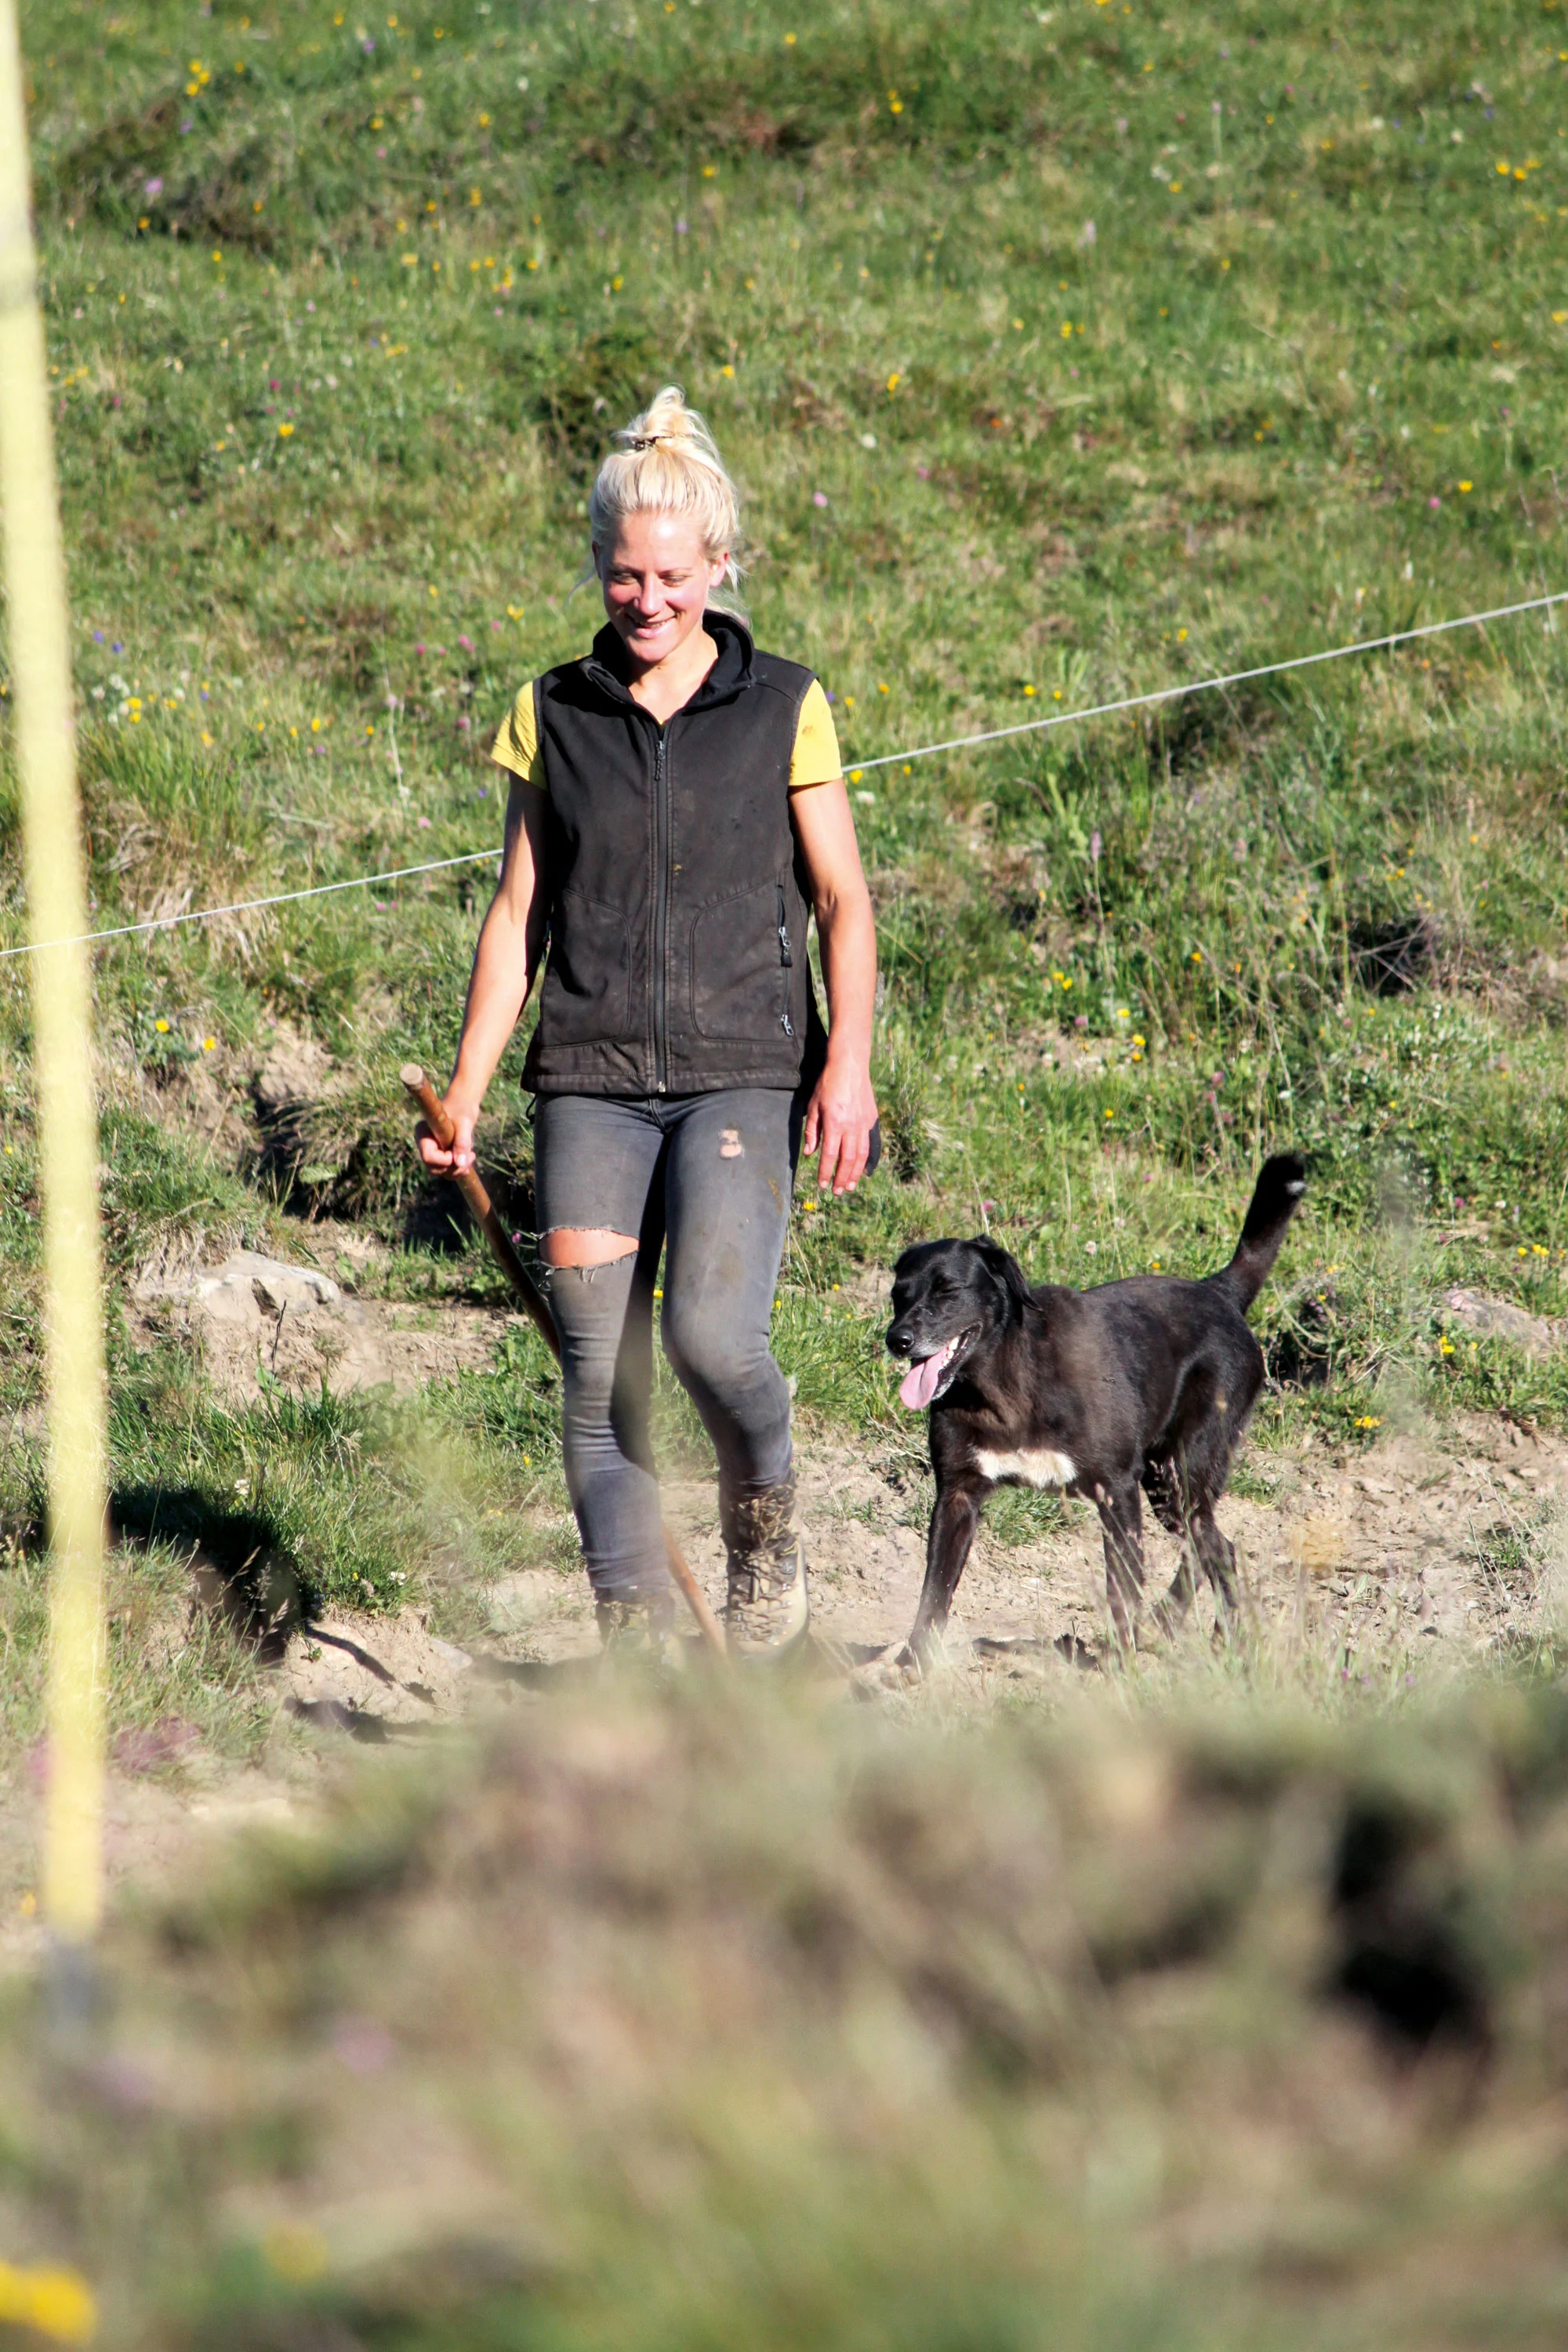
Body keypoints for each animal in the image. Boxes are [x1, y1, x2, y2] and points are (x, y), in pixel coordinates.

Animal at [888, 1152, 1307, 1665]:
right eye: (898, 1296)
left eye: (948, 1290)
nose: (897, 1340)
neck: (1003, 1381)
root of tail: (1219, 1292)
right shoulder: (957, 1496)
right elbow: (935, 1591)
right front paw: (913, 1663)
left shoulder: (1116, 1490)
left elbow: (1121, 1591)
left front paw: (1122, 1670)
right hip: (1166, 1483)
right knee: (1205, 1550)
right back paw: (1165, 1626)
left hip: (1181, 1474)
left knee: (1217, 1551)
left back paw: (1223, 1639)